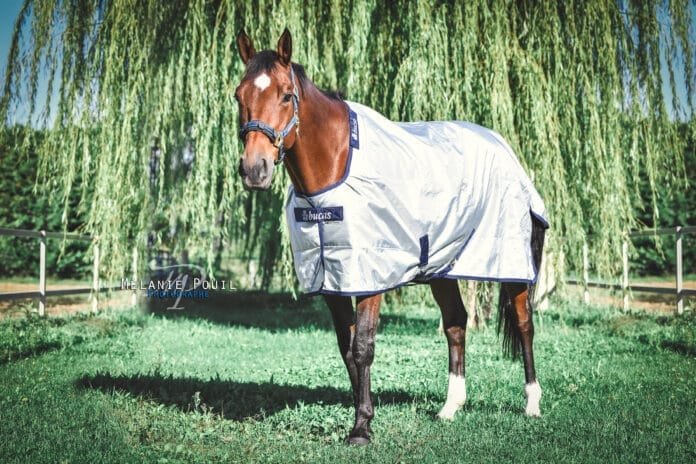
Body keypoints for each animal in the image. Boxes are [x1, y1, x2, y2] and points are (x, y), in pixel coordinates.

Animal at [234, 28, 547, 445]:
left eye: (286, 95)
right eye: (239, 95)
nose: (255, 169)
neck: (334, 170)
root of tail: (503, 147)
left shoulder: (370, 276)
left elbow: (363, 347)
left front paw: (362, 428)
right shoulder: (332, 279)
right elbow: (346, 349)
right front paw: (362, 416)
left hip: (510, 261)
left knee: (524, 323)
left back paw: (532, 404)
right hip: (442, 266)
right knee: (456, 322)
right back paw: (450, 408)